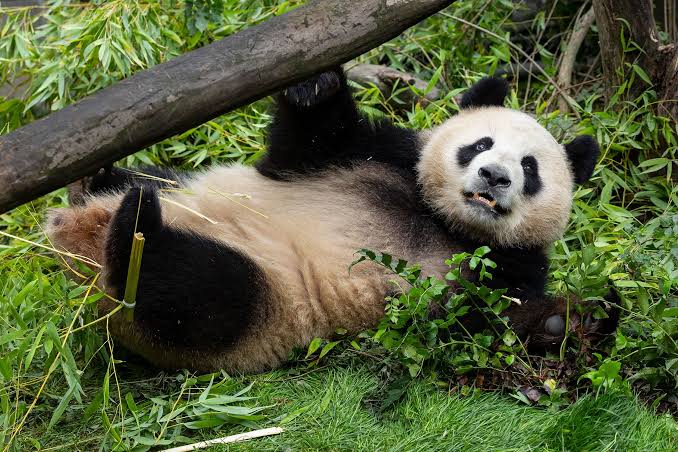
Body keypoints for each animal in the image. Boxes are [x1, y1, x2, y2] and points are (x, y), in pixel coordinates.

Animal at [46, 69, 616, 372]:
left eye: (530, 168)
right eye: (480, 144)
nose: (495, 176)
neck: (444, 221)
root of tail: (80, 247)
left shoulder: (506, 266)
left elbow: (474, 324)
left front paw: (569, 320)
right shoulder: (378, 155)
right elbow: (307, 143)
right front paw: (316, 85)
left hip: (264, 305)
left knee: (196, 291)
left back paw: (135, 234)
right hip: (182, 188)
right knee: (150, 186)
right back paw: (97, 184)